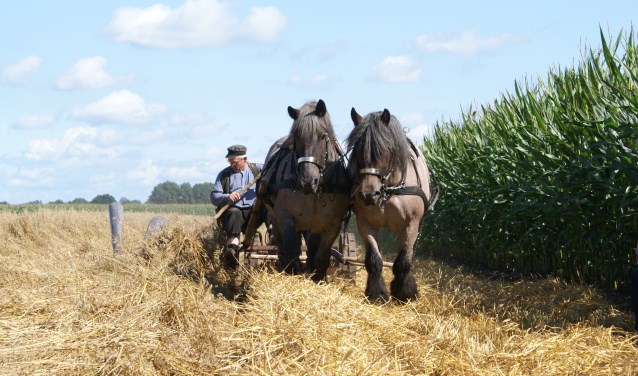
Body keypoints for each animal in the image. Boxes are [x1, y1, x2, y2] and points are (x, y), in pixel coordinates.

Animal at [258, 98, 352, 280]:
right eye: (297, 137)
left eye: (322, 136)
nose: (308, 180)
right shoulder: (285, 217)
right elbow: (291, 251)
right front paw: (294, 273)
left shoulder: (332, 223)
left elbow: (321, 256)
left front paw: (316, 276)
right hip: (276, 219)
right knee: (281, 246)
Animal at [348, 107, 438, 302]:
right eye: (357, 150)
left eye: (386, 149)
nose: (368, 194)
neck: (388, 189)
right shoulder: (365, 223)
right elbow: (374, 259)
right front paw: (377, 293)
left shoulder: (411, 224)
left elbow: (403, 261)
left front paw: (404, 291)